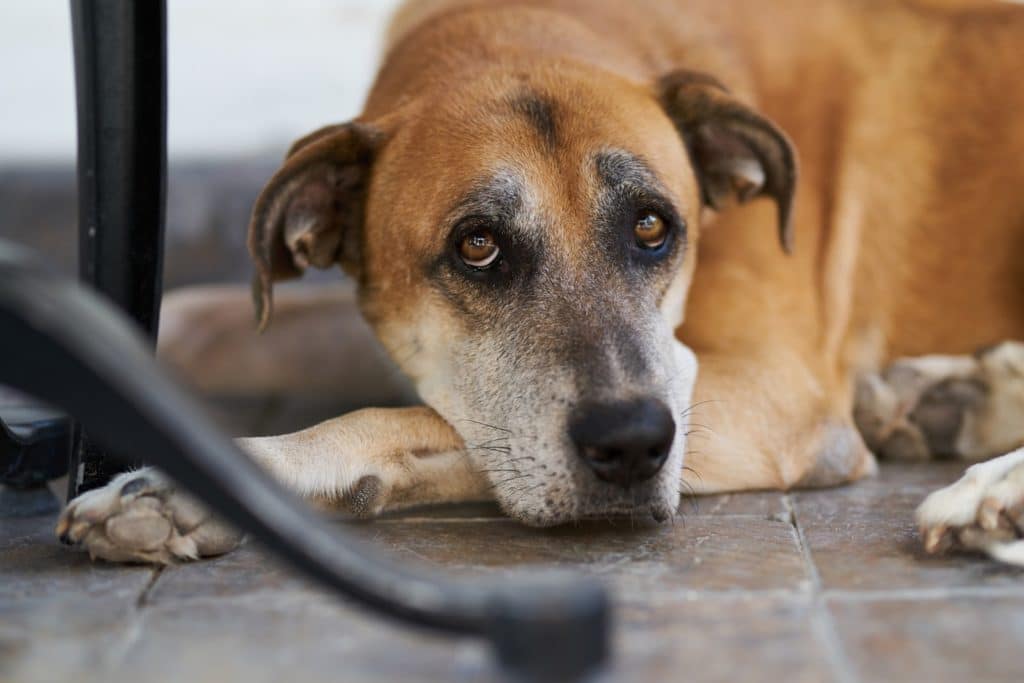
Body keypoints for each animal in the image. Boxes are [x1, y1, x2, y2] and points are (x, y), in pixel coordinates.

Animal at [59, 0, 1024, 565]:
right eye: (478, 245)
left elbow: (422, 421)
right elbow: (192, 320)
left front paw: (202, 483)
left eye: (653, 226)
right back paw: (952, 398)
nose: (632, 444)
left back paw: (992, 485)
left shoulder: (771, 393)